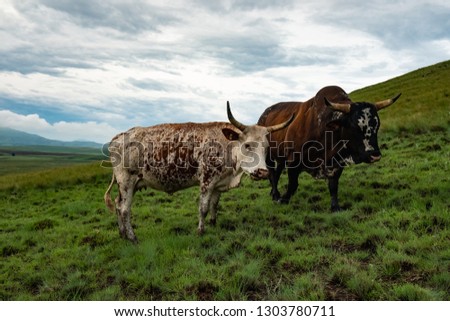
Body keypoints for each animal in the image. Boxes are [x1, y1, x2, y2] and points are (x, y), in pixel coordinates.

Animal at [105, 101, 296, 241]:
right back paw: (132, 237)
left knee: (117, 204)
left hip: (130, 184)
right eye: (248, 145)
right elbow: (203, 207)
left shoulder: (218, 183)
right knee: (124, 209)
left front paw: (213, 223)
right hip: (126, 182)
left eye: (266, 147)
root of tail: (119, 136)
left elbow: (214, 205)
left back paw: (122, 233)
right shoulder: (207, 181)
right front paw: (200, 231)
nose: (263, 172)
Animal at [256, 85, 400, 210]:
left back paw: (273, 193)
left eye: (377, 125)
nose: (374, 155)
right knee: (271, 172)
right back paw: (275, 194)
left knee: (277, 172)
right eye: (354, 126)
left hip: (280, 157)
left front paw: (335, 207)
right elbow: (292, 185)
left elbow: (333, 186)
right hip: (268, 155)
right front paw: (283, 200)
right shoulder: (293, 160)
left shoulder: (337, 163)